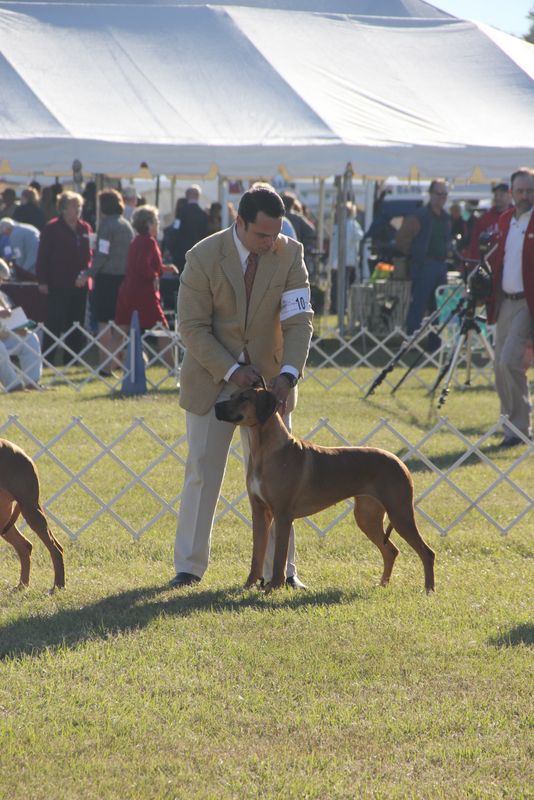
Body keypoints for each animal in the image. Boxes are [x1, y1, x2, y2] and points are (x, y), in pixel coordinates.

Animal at [0, 438, 65, 588]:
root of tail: (21, 451)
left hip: (30, 509)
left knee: (56, 548)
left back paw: (58, 586)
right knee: (25, 546)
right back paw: (22, 585)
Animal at [216, 388, 438, 592]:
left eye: (244, 398)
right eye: (232, 394)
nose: (217, 406)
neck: (265, 451)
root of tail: (400, 461)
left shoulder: (282, 515)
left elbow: (279, 557)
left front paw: (273, 587)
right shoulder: (260, 512)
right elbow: (257, 555)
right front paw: (248, 586)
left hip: (400, 513)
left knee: (427, 552)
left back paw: (429, 589)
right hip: (367, 516)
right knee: (390, 551)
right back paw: (382, 584)